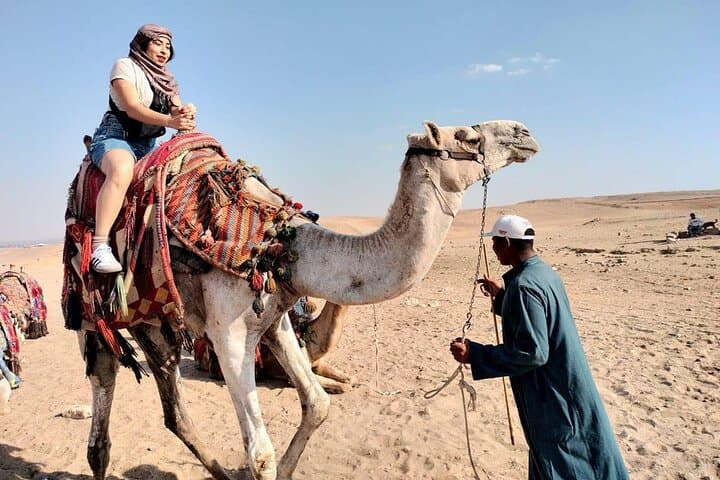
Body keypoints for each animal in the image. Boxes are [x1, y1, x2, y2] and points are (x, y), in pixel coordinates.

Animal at [76, 120, 539, 480]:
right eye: (466, 136)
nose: (525, 133)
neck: (283, 245)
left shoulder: (275, 315)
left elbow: (318, 404)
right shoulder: (227, 332)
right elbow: (260, 455)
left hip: (154, 322)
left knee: (174, 411)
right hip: (92, 314)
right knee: (103, 400)